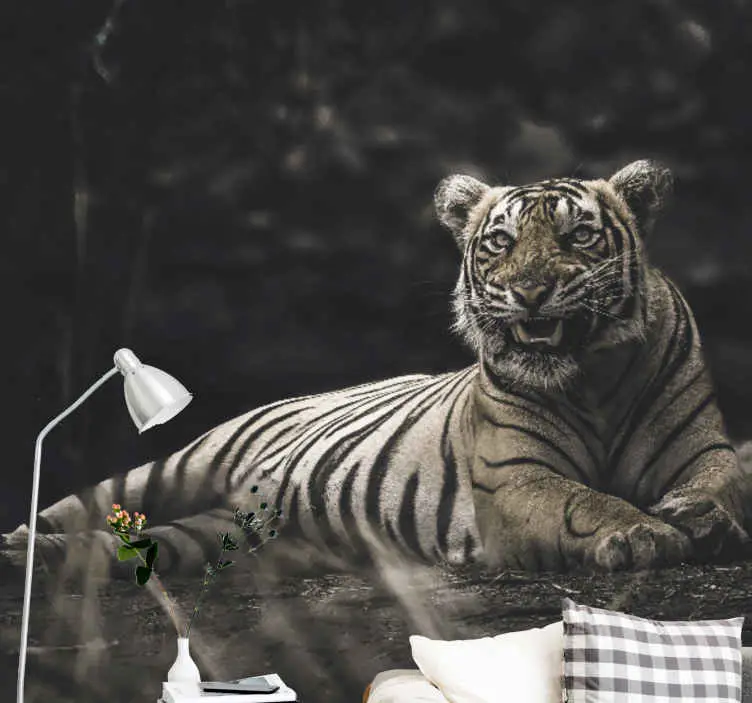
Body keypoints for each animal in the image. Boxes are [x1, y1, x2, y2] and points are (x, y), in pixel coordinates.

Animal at [3, 159, 749, 575]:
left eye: (580, 235)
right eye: (501, 242)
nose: (530, 290)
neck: (593, 383)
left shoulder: (703, 449)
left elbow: (722, 483)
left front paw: (699, 517)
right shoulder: (516, 479)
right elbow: (583, 501)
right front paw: (645, 532)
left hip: (215, 535)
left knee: (138, 545)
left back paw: (45, 559)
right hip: (180, 462)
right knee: (85, 501)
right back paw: (20, 544)